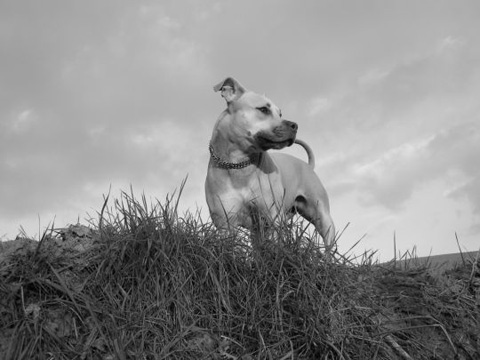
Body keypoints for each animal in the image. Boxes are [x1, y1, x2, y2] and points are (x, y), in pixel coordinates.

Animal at [204, 77, 336, 249]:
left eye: (280, 113)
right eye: (263, 109)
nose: (295, 125)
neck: (239, 164)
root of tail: (308, 165)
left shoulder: (272, 219)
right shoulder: (226, 224)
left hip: (322, 216)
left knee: (329, 244)